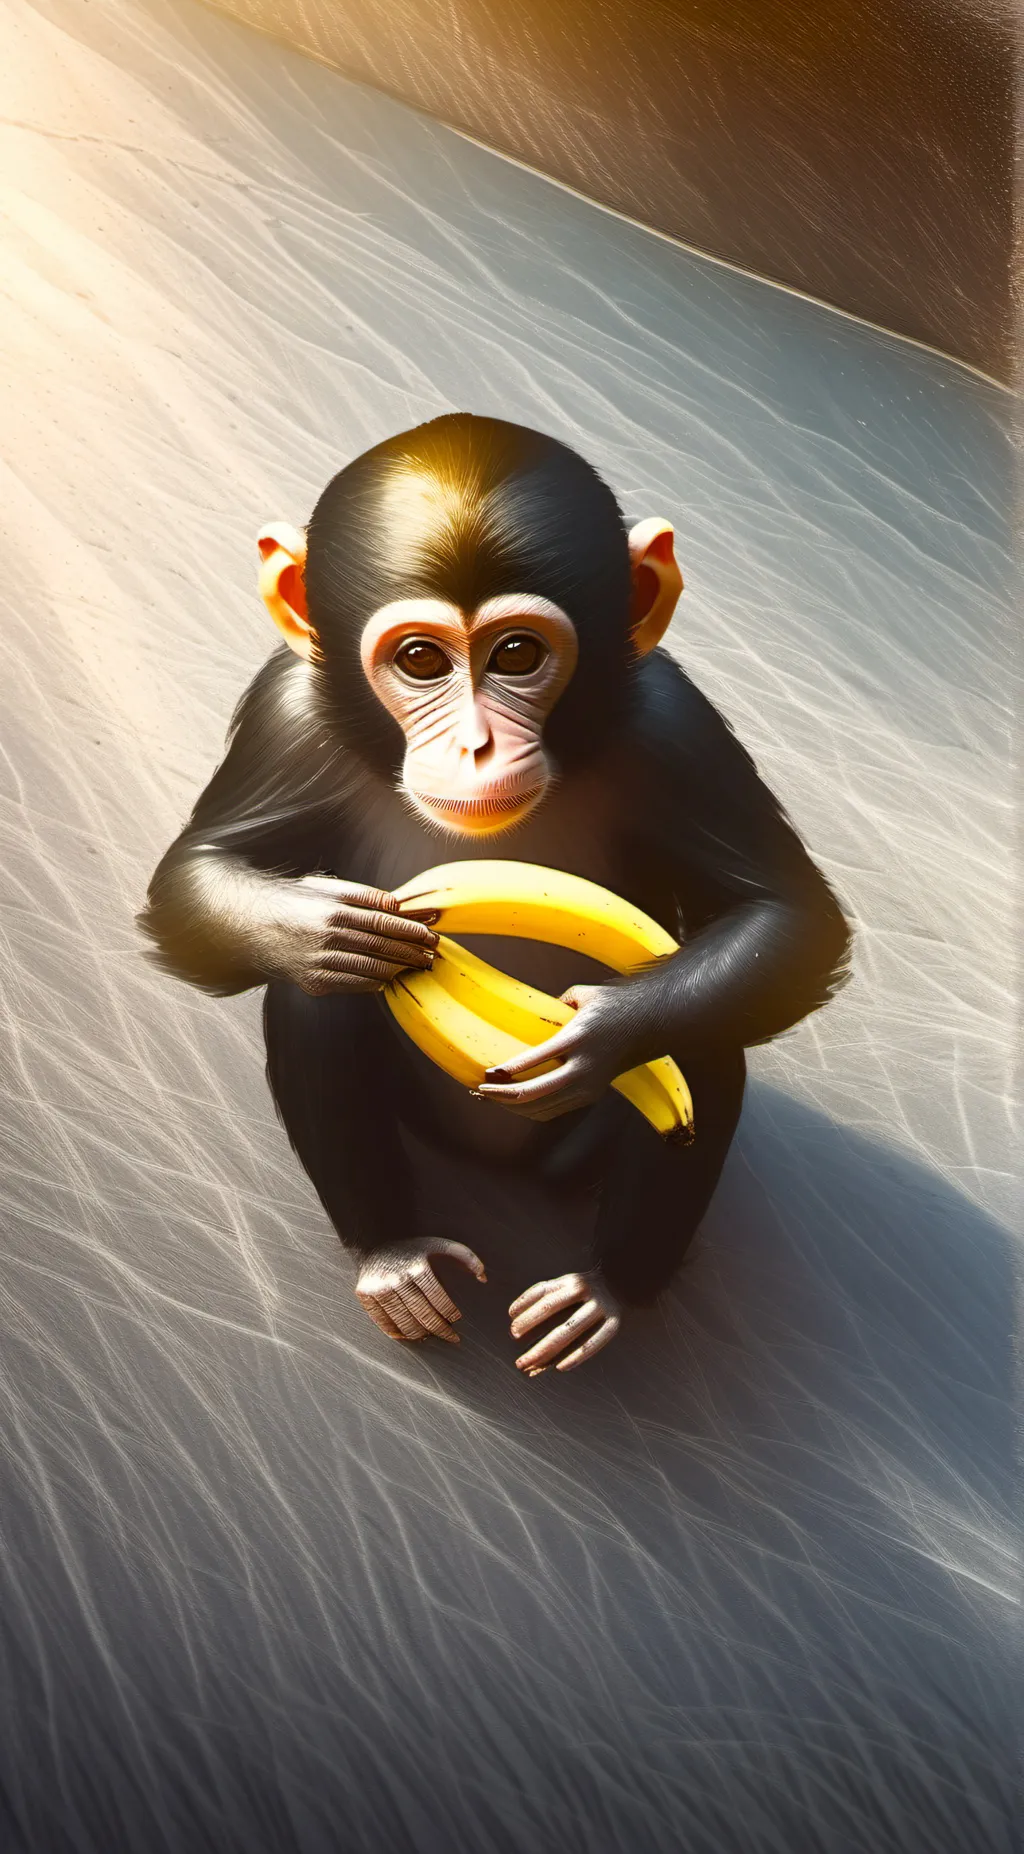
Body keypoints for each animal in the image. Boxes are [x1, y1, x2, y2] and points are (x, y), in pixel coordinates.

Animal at [138, 414, 851, 1377]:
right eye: (419, 660)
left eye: (517, 654)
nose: (476, 744)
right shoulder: (284, 715)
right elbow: (197, 871)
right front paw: (319, 926)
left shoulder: (679, 726)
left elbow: (785, 915)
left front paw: (601, 1034)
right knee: (315, 998)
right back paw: (395, 1257)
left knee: (703, 1041)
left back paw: (609, 1287)